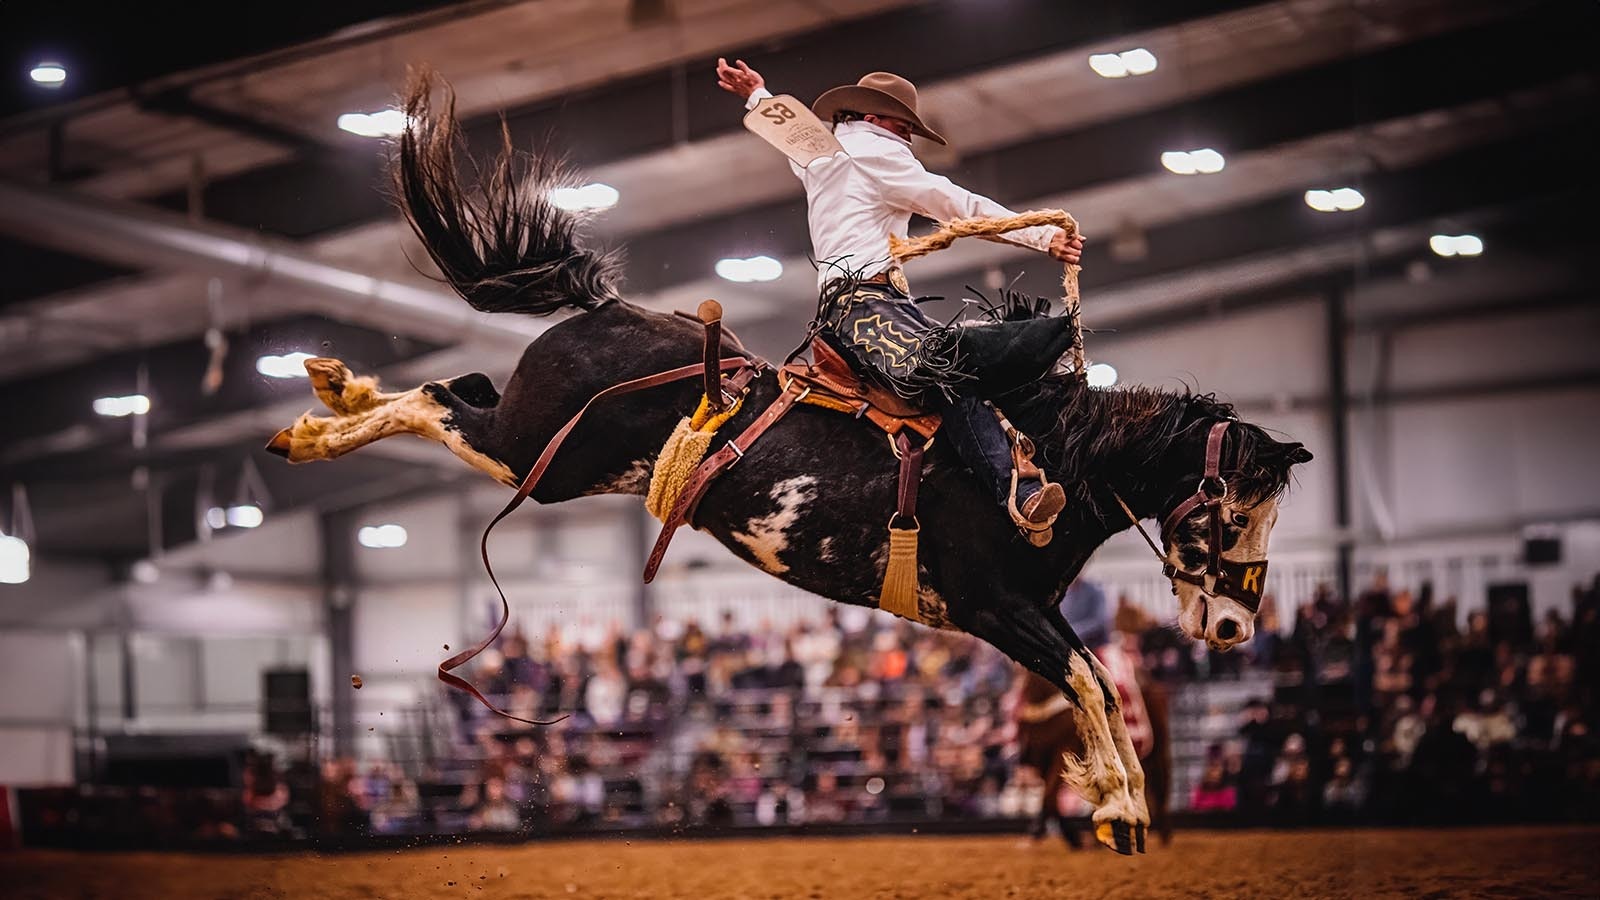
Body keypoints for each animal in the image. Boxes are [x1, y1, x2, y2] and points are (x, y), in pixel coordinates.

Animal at [265, 73, 1312, 851]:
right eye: (1227, 507)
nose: (1231, 629)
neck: (1046, 453)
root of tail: (601, 307)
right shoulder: (997, 608)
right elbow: (1091, 680)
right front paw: (1122, 808)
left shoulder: (1035, 613)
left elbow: (1094, 676)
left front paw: (1118, 803)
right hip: (540, 457)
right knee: (440, 406)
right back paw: (317, 421)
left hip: (548, 454)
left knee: (456, 389)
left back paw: (332, 396)